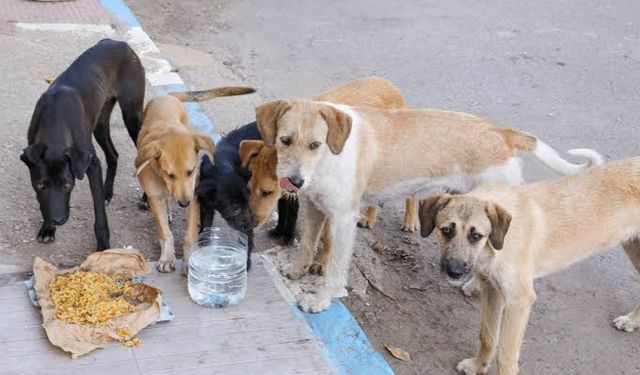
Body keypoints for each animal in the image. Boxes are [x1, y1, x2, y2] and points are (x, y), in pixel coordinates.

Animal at [21, 39, 145, 250]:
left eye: (67, 185)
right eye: (41, 186)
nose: (58, 220)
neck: (55, 120)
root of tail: (120, 43)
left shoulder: (91, 164)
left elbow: (99, 214)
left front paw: (103, 245)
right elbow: (43, 203)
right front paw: (47, 229)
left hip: (132, 116)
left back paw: (145, 199)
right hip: (100, 123)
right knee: (113, 155)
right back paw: (107, 192)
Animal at [136, 86, 254, 272]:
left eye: (191, 171)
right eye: (169, 174)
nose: (184, 203)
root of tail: (167, 96)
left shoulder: (196, 198)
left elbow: (191, 234)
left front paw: (188, 260)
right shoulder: (155, 199)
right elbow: (165, 232)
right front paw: (167, 257)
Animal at [196, 121, 298, 268]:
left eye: (248, 202)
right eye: (235, 208)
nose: (254, 225)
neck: (222, 164)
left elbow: (247, 238)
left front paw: (246, 262)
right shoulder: (205, 204)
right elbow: (206, 225)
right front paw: (202, 247)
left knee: (292, 205)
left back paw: (287, 235)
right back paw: (278, 231)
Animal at [420, 156, 640, 375]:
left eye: (476, 236)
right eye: (446, 230)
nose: (454, 272)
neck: (497, 242)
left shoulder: (519, 300)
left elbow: (506, 355)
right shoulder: (492, 290)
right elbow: (487, 337)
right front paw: (477, 366)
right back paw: (632, 321)